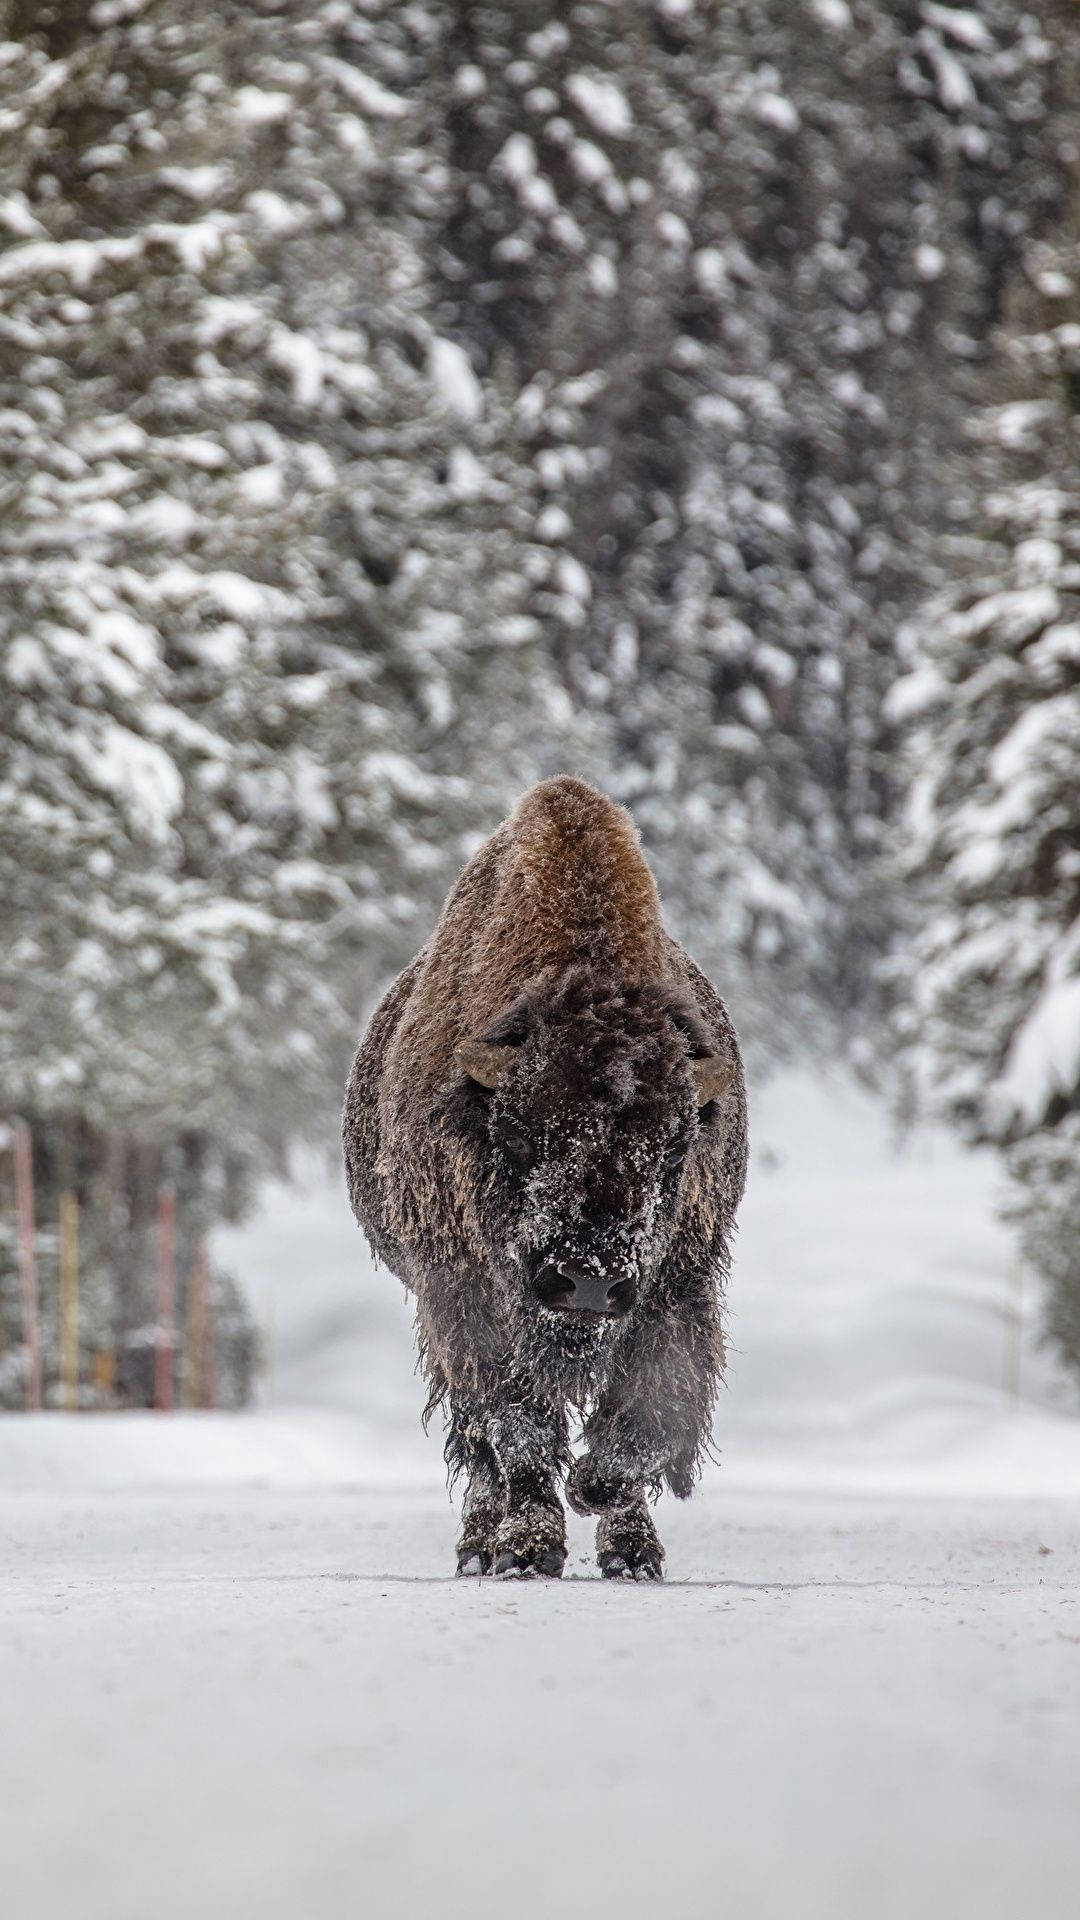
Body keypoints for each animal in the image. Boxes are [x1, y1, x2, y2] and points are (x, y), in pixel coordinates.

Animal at [340, 771, 745, 1582]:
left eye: (676, 1151)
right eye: (520, 1137)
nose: (587, 1281)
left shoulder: (678, 1285)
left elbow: (647, 1415)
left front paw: (610, 1512)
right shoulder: (463, 1295)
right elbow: (516, 1428)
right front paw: (528, 1548)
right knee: (479, 1449)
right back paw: (481, 1546)